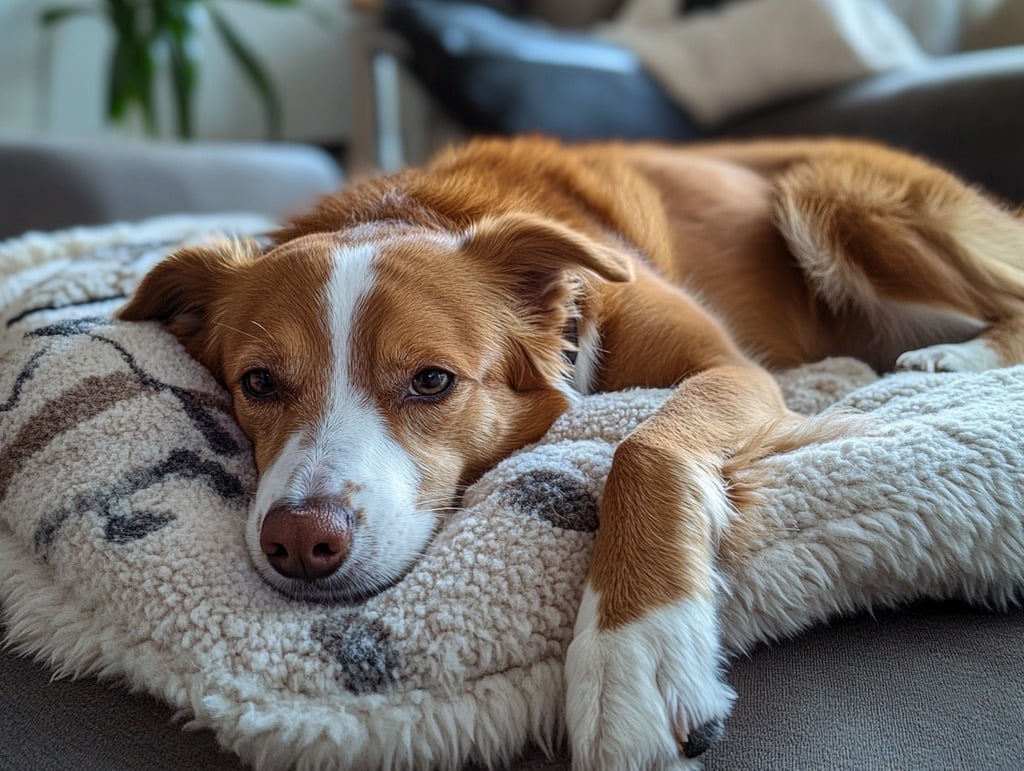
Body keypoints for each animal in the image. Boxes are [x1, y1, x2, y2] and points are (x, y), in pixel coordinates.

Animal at [116, 135, 1024, 765]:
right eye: (259, 382)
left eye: (432, 381)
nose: (301, 541)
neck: (413, 209)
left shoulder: (733, 370)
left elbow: (644, 447)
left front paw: (634, 652)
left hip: (835, 198)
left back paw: (953, 358)